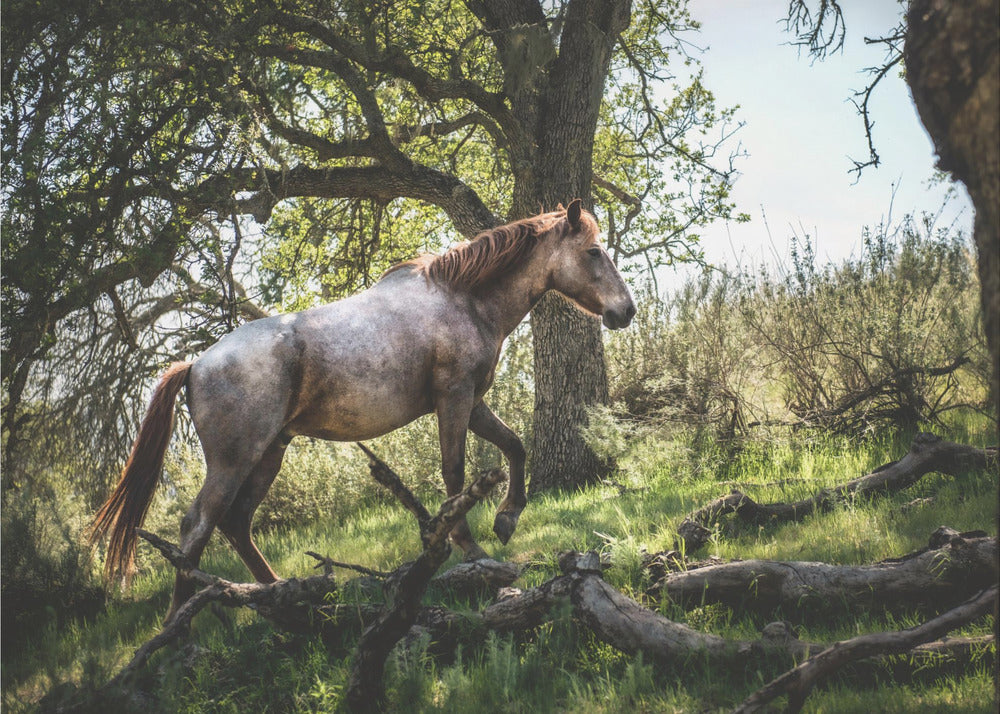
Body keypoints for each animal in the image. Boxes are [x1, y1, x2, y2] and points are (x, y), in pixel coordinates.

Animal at [90, 199, 635, 622]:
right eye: (593, 251)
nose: (625, 311)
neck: (462, 299)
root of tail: (196, 364)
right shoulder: (454, 398)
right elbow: (455, 476)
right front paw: (474, 553)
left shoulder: (473, 402)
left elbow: (514, 447)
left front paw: (506, 519)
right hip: (234, 459)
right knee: (197, 526)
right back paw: (181, 622)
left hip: (270, 452)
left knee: (237, 523)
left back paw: (284, 596)